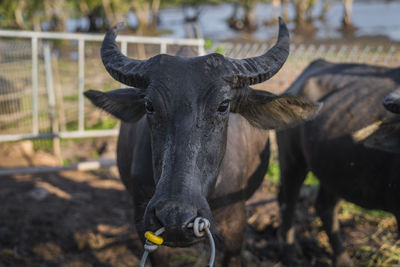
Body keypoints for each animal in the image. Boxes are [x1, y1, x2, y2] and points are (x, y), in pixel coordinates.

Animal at [276, 59, 400, 266]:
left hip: (333, 170)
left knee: (324, 206)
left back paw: (342, 259)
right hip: (292, 160)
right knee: (289, 203)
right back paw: (291, 254)